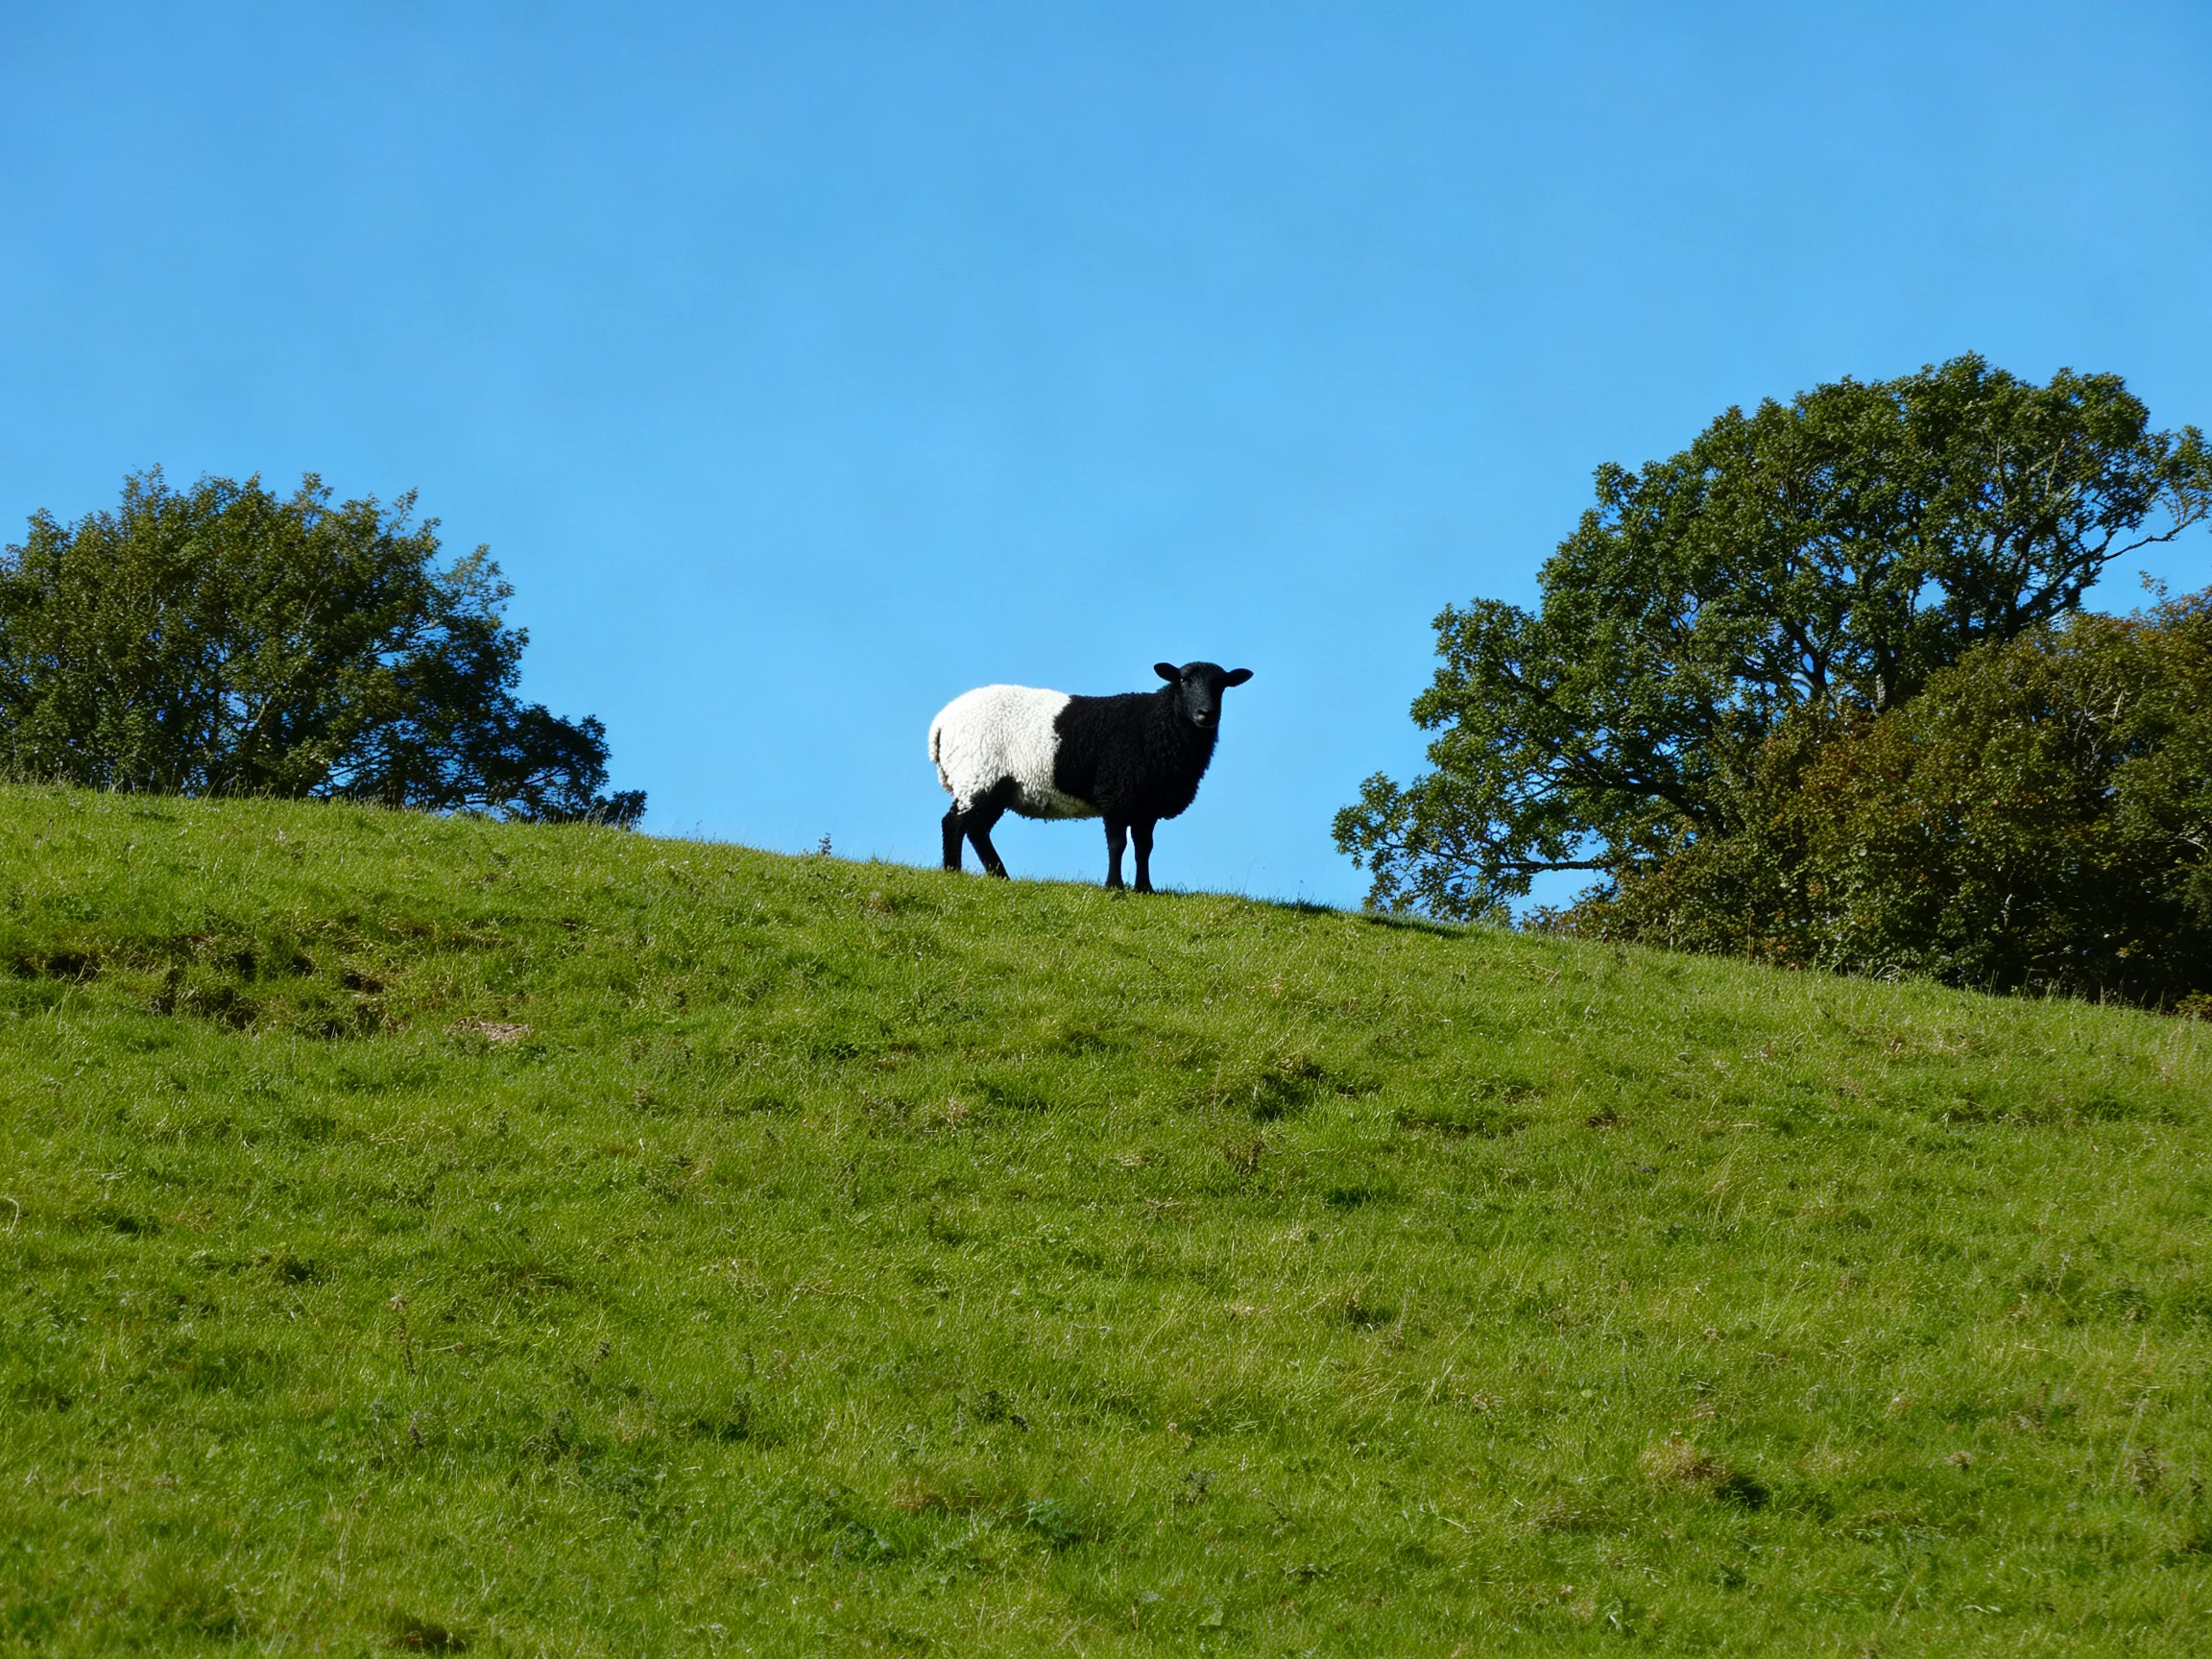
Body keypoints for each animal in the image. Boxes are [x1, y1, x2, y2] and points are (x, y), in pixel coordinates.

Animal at [929, 661, 1254, 892]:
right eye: (1183, 681)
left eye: (1222, 685)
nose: (1205, 713)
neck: (1158, 724)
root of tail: (942, 723)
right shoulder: (1116, 793)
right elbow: (1117, 844)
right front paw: (1114, 886)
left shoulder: (1145, 805)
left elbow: (1144, 847)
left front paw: (1145, 889)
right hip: (977, 773)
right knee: (954, 824)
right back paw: (953, 872)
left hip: (998, 787)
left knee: (978, 830)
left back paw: (1001, 877)